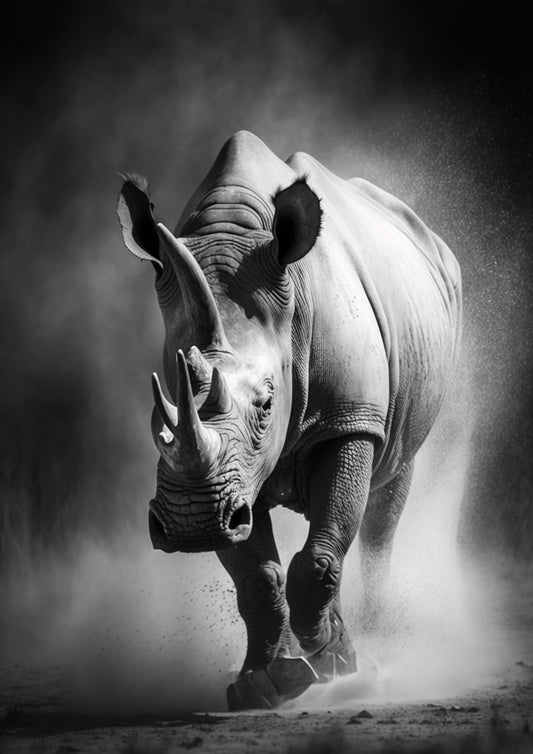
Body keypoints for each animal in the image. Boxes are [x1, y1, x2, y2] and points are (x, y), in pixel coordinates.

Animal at [117, 130, 461, 710]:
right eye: (160, 404)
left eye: (266, 404)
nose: (189, 520)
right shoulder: (229, 479)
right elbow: (256, 573)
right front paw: (268, 684)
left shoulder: (351, 417)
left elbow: (322, 550)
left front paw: (334, 655)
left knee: (383, 504)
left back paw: (376, 649)